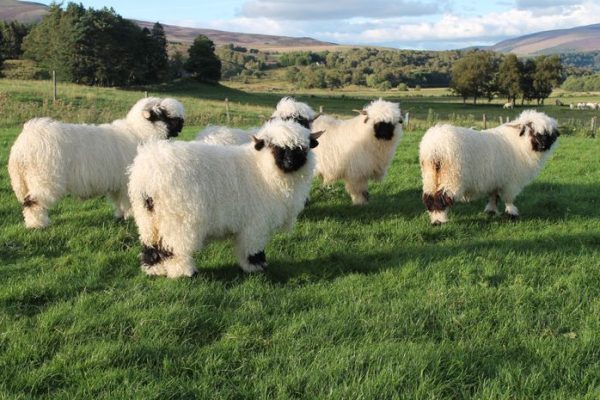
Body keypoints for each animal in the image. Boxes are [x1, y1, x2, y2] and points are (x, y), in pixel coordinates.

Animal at [7, 97, 184, 228]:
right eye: (165, 114)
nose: (182, 125)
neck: (140, 132)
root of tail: (23, 145)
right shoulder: (127, 182)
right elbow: (128, 201)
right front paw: (130, 216)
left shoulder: (118, 182)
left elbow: (118, 201)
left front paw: (121, 215)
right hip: (44, 178)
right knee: (32, 202)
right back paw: (38, 224)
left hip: (26, 179)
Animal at [128, 118, 322, 278]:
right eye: (274, 147)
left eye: (301, 149)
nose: (290, 163)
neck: (262, 169)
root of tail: (148, 174)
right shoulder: (255, 223)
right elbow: (252, 248)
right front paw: (256, 267)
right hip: (178, 219)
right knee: (175, 248)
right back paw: (185, 272)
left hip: (148, 220)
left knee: (151, 246)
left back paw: (154, 270)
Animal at [420, 109, 560, 225]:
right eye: (532, 132)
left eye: (548, 135)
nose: (543, 146)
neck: (521, 143)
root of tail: (434, 147)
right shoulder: (510, 182)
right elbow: (508, 198)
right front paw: (512, 213)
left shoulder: (495, 179)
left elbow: (493, 196)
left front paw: (491, 211)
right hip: (452, 176)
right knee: (441, 198)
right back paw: (439, 220)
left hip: (430, 177)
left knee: (429, 198)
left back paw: (435, 218)